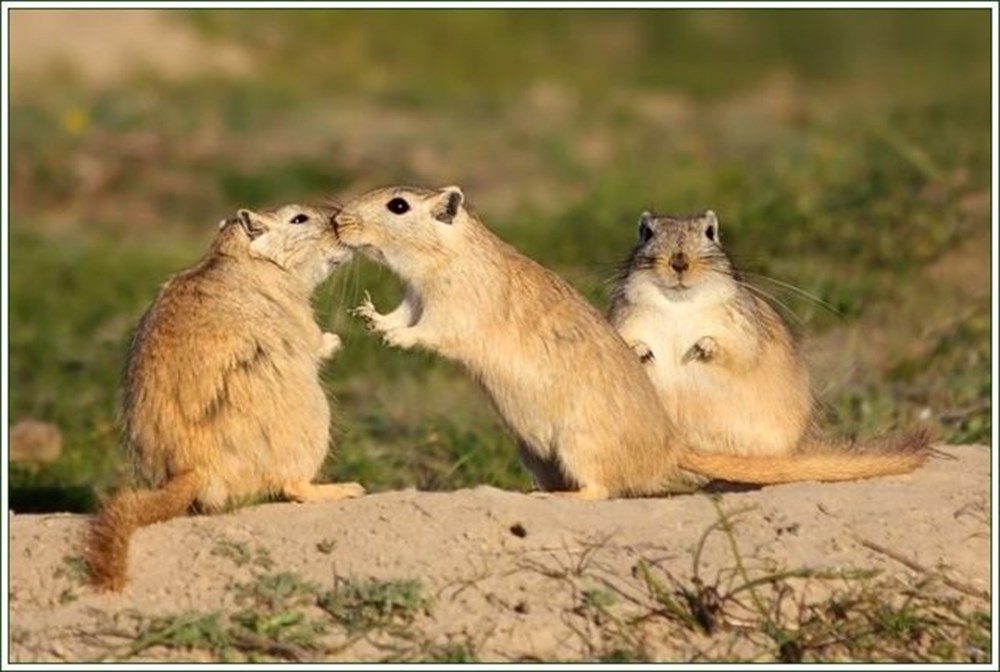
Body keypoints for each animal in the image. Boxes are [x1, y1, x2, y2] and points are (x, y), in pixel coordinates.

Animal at [84, 203, 362, 588]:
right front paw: (337, 340)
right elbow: (317, 341)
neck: (235, 254)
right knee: (293, 487)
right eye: (299, 219)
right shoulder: (301, 314)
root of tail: (192, 469)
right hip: (316, 418)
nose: (340, 217)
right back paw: (349, 488)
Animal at [608, 207, 928, 470]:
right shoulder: (623, 324)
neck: (677, 307)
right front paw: (642, 352)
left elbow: (735, 354)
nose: (679, 262)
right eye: (647, 233)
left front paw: (703, 348)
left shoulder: (743, 334)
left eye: (710, 232)